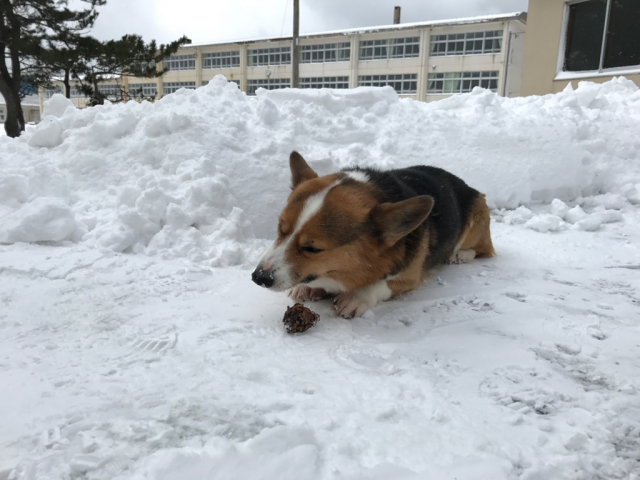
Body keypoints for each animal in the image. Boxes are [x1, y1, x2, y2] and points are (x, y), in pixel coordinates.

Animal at [250, 151, 496, 318]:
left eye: (313, 248)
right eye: (281, 229)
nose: (258, 277)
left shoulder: (410, 277)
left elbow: (381, 284)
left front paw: (356, 298)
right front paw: (308, 287)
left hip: (476, 222)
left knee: (484, 250)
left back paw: (460, 254)